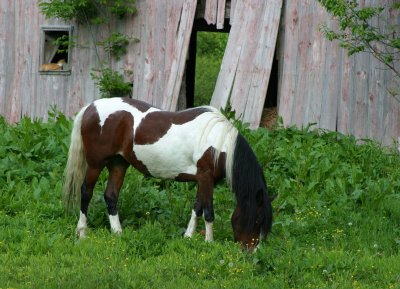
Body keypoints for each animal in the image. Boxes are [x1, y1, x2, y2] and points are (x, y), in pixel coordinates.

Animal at [64, 97, 274, 250]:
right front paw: (209, 243)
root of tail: (91, 107)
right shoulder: (206, 178)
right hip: (95, 164)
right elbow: (208, 212)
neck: (218, 143)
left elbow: (197, 207)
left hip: (119, 164)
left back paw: (118, 233)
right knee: (86, 192)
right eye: (257, 218)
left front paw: (188, 237)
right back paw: (82, 233)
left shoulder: (204, 180)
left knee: (111, 196)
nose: (251, 251)